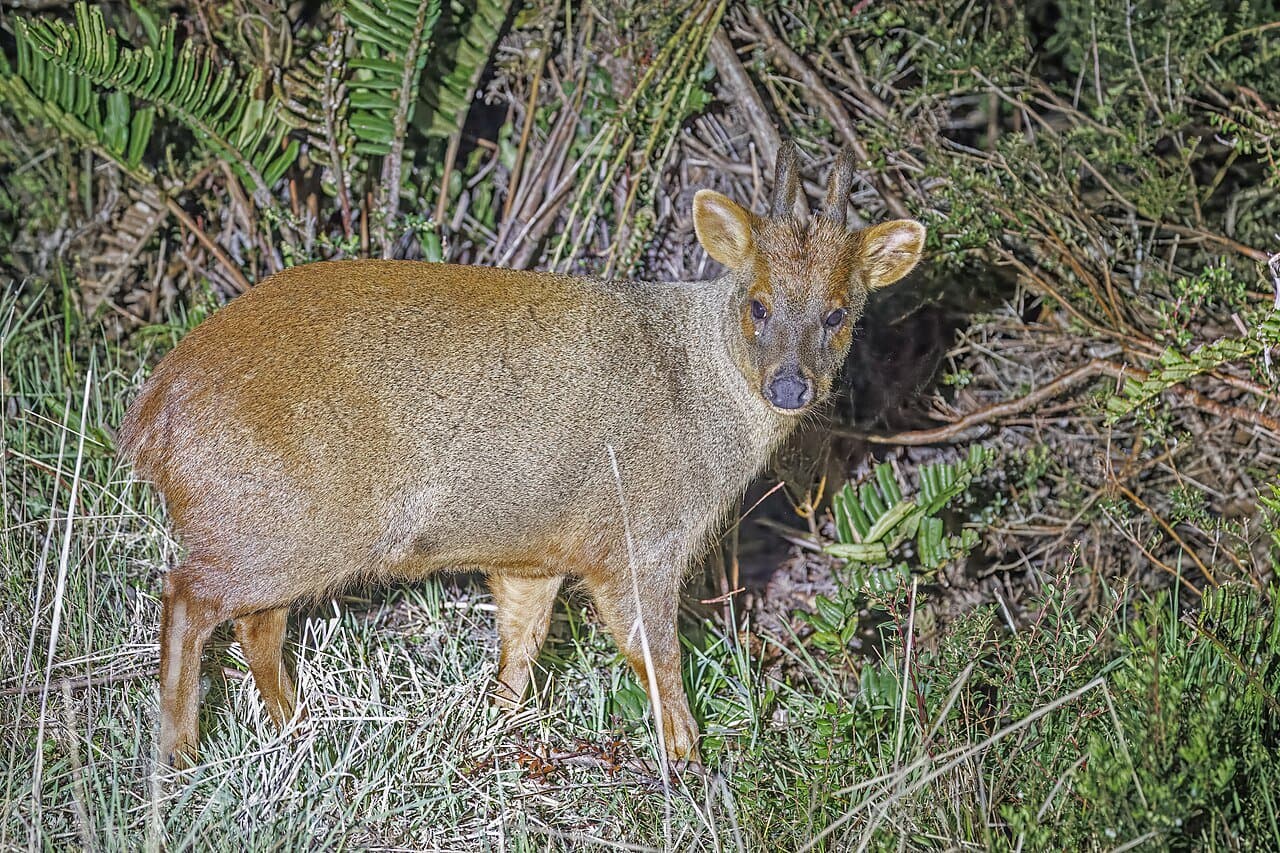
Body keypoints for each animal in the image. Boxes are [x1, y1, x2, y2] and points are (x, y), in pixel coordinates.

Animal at [118, 141, 926, 768]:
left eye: (839, 312)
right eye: (757, 302)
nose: (791, 385)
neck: (697, 388)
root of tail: (150, 418)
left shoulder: (534, 554)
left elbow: (520, 652)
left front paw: (498, 737)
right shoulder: (638, 539)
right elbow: (658, 660)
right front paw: (691, 767)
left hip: (278, 530)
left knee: (255, 623)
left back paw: (296, 731)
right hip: (283, 524)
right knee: (187, 594)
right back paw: (181, 756)